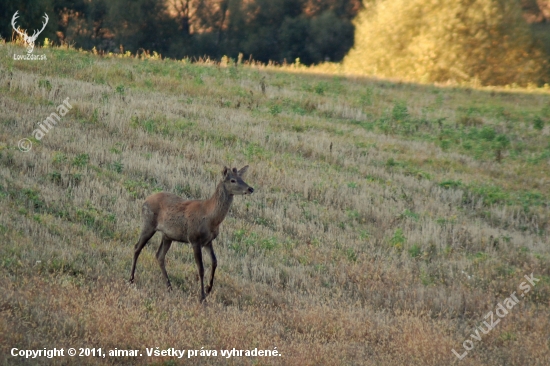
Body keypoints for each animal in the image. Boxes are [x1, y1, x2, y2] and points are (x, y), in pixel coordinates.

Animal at [130, 167, 256, 302]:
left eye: (241, 178)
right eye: (233, 180)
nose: (250, 189)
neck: (211, 218)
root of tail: (145, 201)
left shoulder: (208, 241)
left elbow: (215, 261)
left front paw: (208, 288)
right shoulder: (194, 239)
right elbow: (200, 268)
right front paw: (202, 297)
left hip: (167, 235)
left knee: (159, 255)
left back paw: (169, 286)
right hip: (148, 224)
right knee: (137, 247)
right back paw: (131, 279)